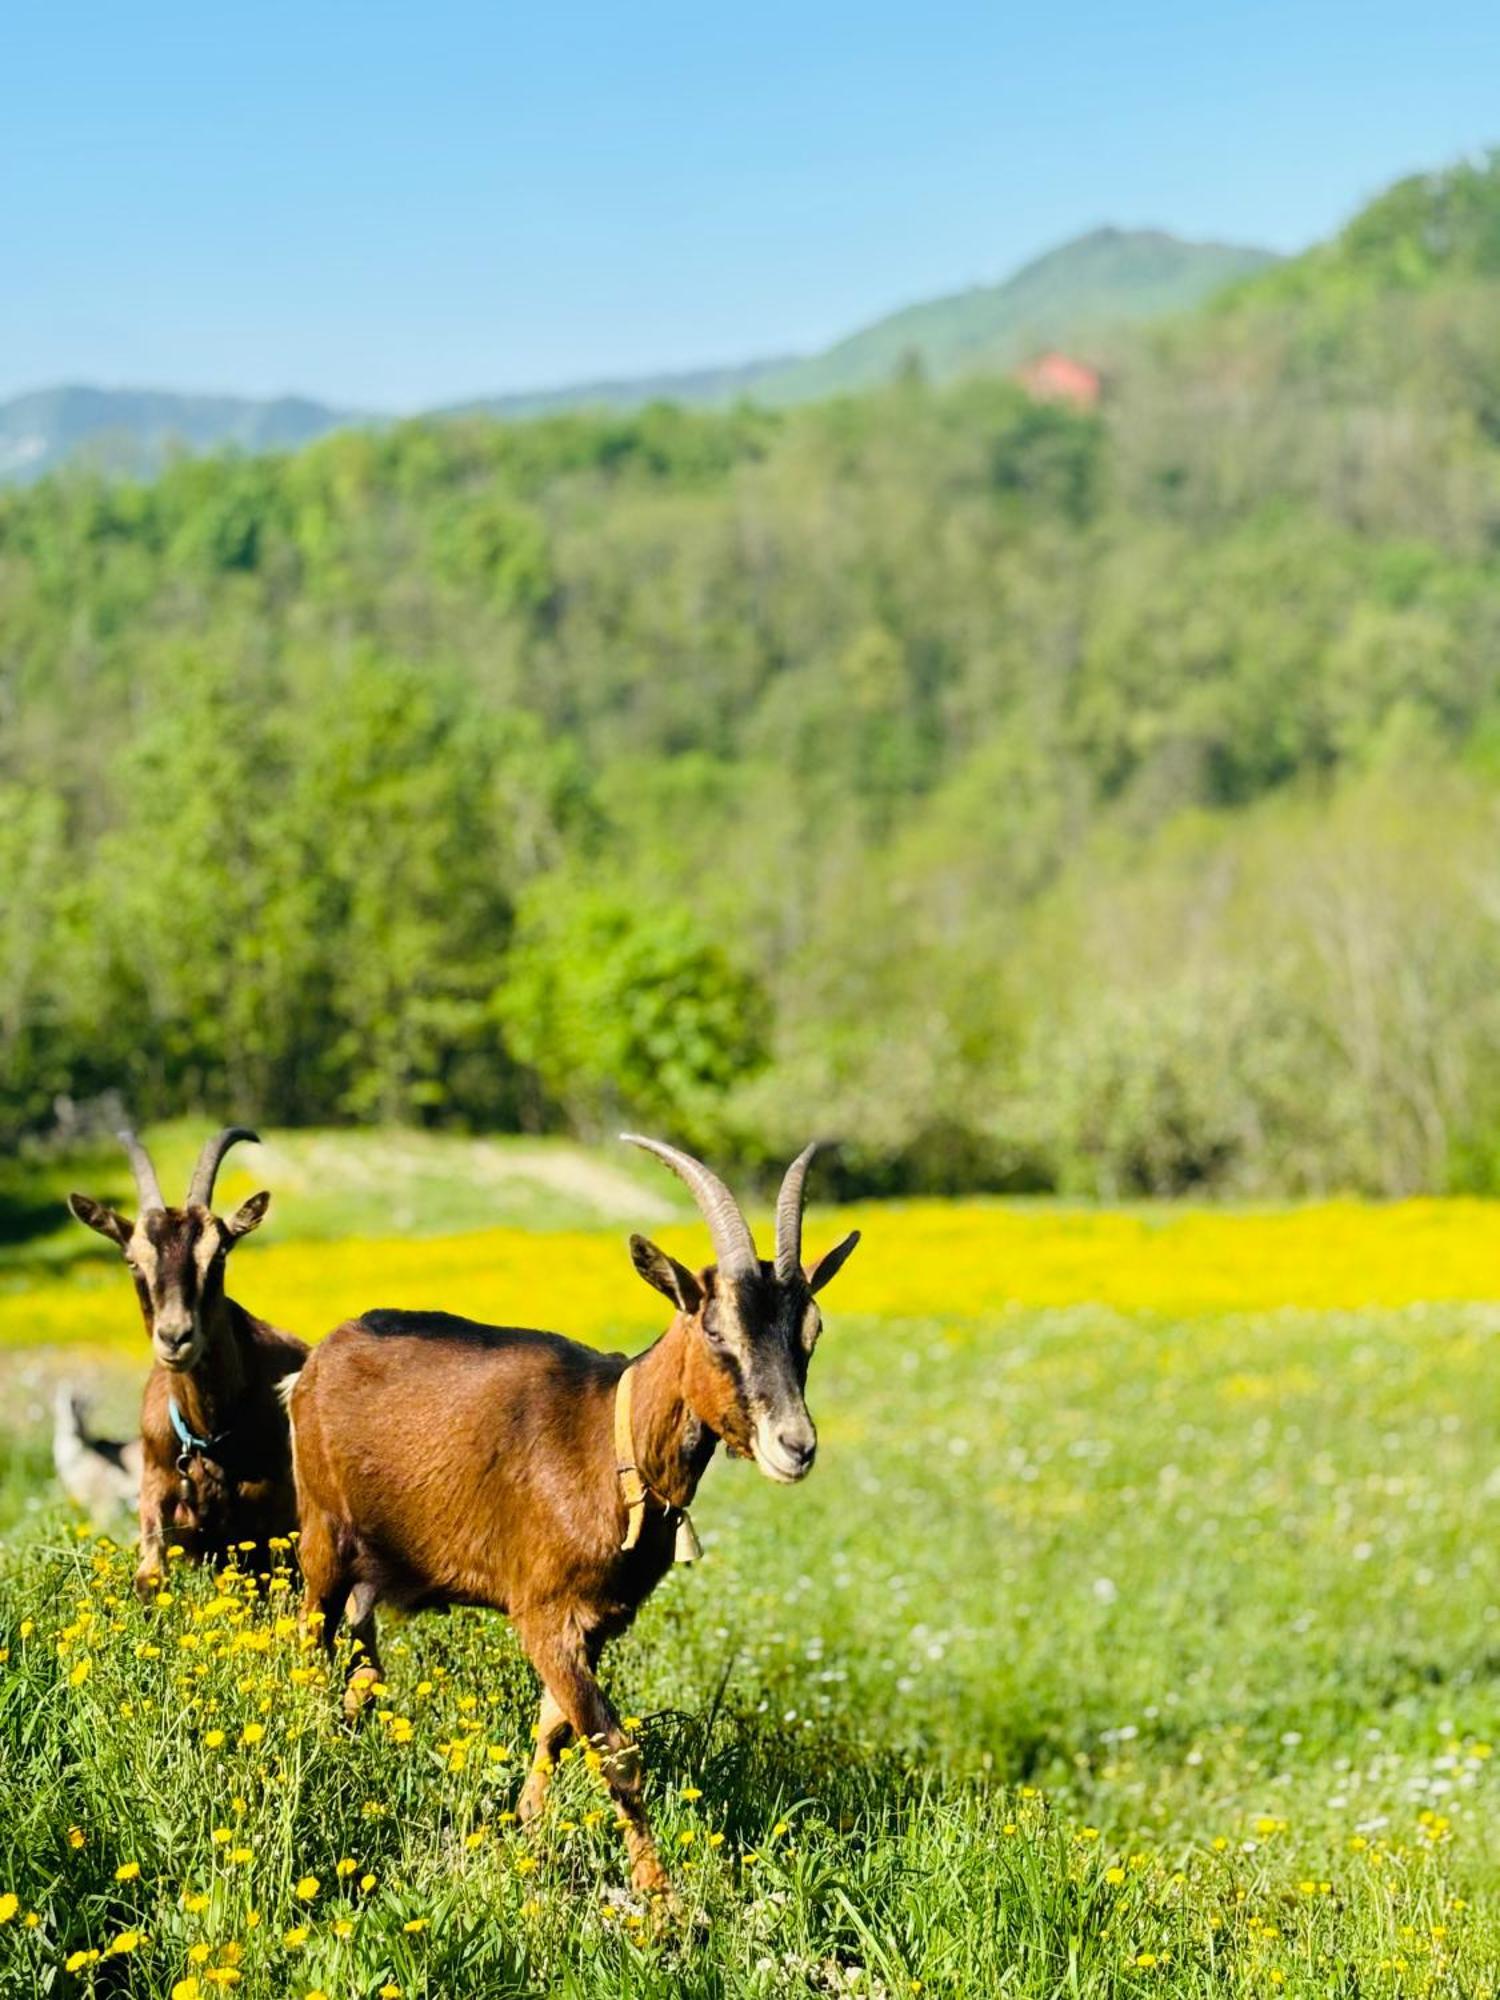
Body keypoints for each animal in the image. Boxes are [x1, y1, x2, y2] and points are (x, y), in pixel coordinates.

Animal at [67, 1128, 308, 1592]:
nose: (175, 1337)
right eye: (132, 1261)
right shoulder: (154, 1487)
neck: (208, 1435)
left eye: (220, 1253)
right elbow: (149, 1577)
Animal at [290, 1136, 864, 1896]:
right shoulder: (543, 1613)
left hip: (375, 1566)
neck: (609, 1441)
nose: (795, 1446)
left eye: (813, 1329)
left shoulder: (593, 1624)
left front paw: (528, 1835)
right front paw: (661, 1902)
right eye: (715, 1329)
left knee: (364, 1666)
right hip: (323, 1534)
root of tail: (316, 1361)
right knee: (312, 1644)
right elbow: (615, 1750)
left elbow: (553, 1729)